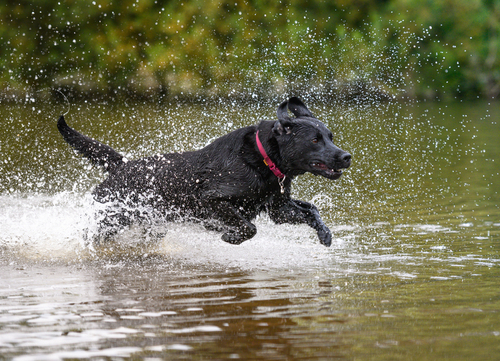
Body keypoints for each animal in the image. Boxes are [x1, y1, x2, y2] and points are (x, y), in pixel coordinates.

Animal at [56, 97, 350, 246]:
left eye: (330, 137)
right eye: (315, 140)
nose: (346, 156)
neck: (262, 159)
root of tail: (121, 165)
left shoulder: (278, 208)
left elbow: (312, 210)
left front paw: (325, 234)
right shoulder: (211, 199)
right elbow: (249, 227)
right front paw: (230, 236)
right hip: (111, 218)